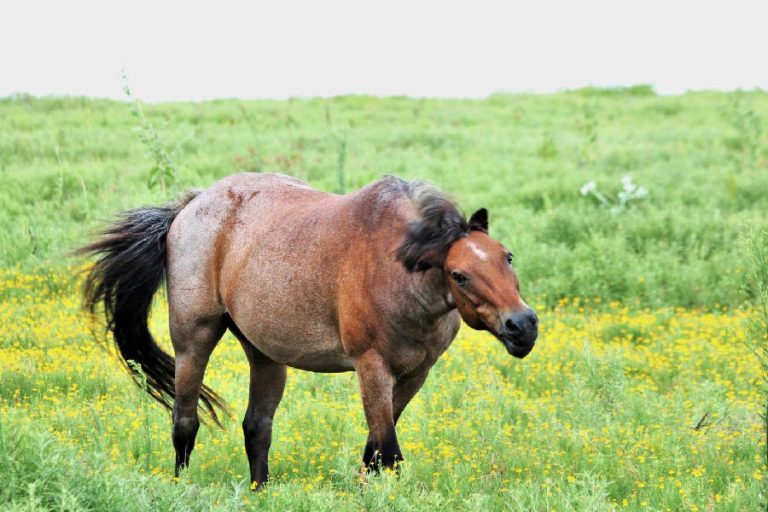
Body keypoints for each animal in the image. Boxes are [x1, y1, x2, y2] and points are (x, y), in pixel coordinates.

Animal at [80, 172, 538, 488]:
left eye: (507, 256)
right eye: (459, 274)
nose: (522, 326)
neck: (395, 268)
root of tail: (191, 206)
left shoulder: (414, 375)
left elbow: (373, 450)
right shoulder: (372, 369)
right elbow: (387, 452)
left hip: (264, 353)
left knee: (257, 428)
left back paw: (260, 492)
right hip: (194, 340)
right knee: (185, 422)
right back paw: (182, 486)